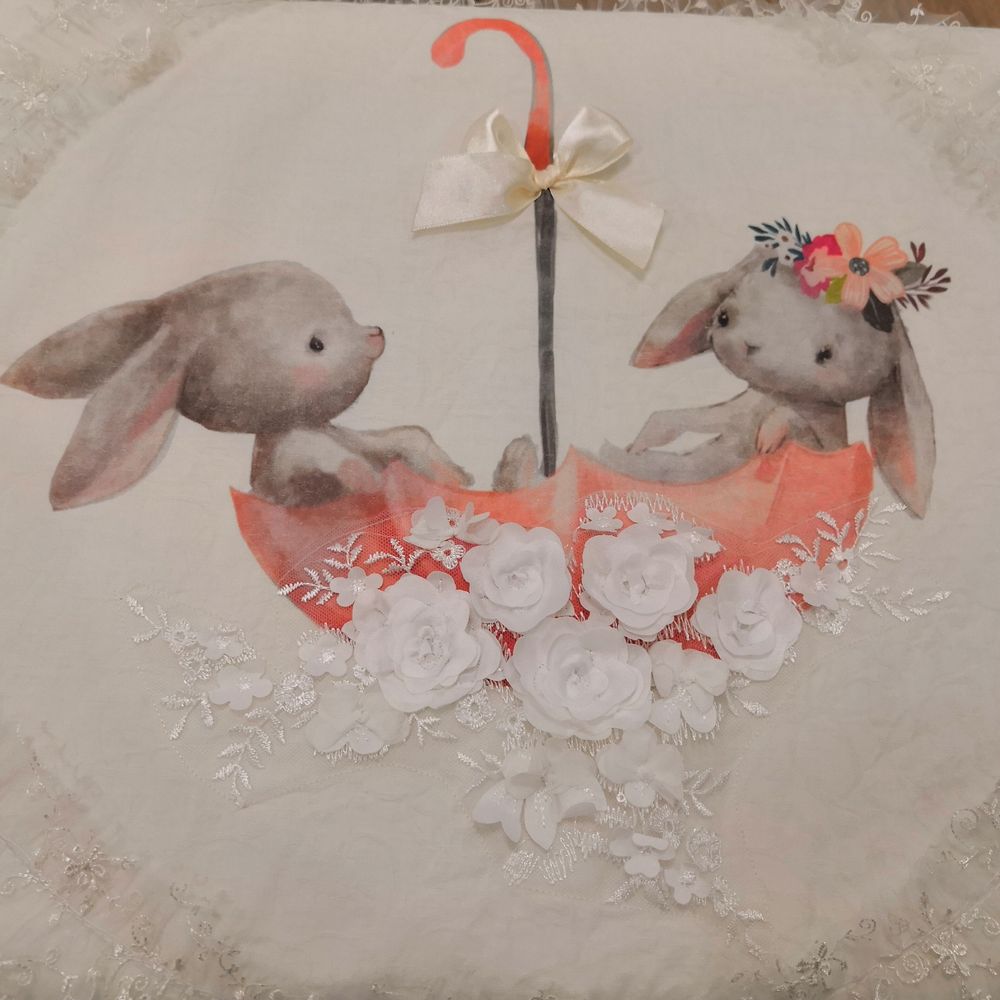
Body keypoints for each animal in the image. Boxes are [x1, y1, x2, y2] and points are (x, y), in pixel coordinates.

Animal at [1, 261, 471, 509]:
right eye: (317, 344)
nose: (375, 334)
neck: (310, 427)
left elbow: (409, 437)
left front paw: (455, 478)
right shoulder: (288, 466)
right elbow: (315, 480)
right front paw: (369, 484)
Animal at [597, 247, 935, 516]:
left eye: (825, 355)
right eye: (723, 317)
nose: (747, 345)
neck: (777, 394)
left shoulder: (821, 437)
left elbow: (798, 429)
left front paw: (768, 437)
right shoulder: (739, 409)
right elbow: (674, 419)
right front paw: (639, 443)